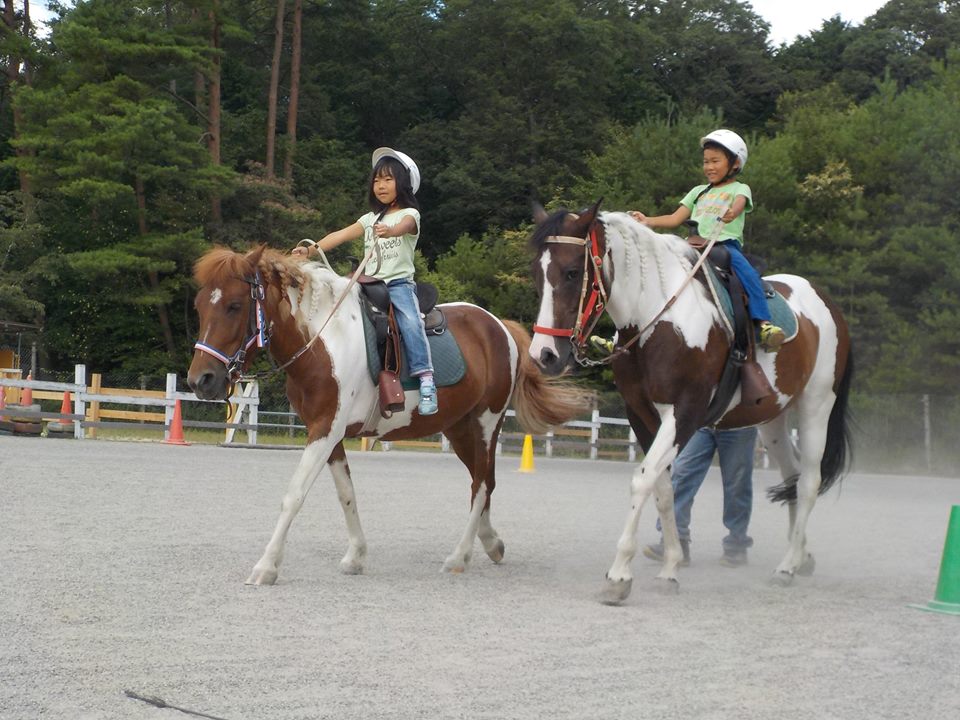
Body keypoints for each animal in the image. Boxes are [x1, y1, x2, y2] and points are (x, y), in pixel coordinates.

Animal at [188, 248, 584, 584]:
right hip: (459, 429)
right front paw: (356, 556)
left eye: (234, 306)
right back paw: (491, 543)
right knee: (482, 481)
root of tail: (498, 325)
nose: (200, 380)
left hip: (487, 424)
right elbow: (346, 493)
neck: (322, 341)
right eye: (199, 307)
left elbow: (294, 495)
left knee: (482, 485)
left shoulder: (324, 431)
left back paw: (459, 556)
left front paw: (266, 566)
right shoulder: (329, 434)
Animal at [528, 201, 852, 600]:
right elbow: (664, 488)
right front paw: (670, 567)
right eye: (538, 274)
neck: (657, 321)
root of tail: (827, 304)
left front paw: (619, 576)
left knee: (808, 482)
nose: (544, 355)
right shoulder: (642, 415)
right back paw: (802, 555)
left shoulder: (684, 413)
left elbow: (642, 481)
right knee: (792, 476)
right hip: (773, 418)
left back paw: (787, 566)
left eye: (573, 272)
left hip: (816, 406)